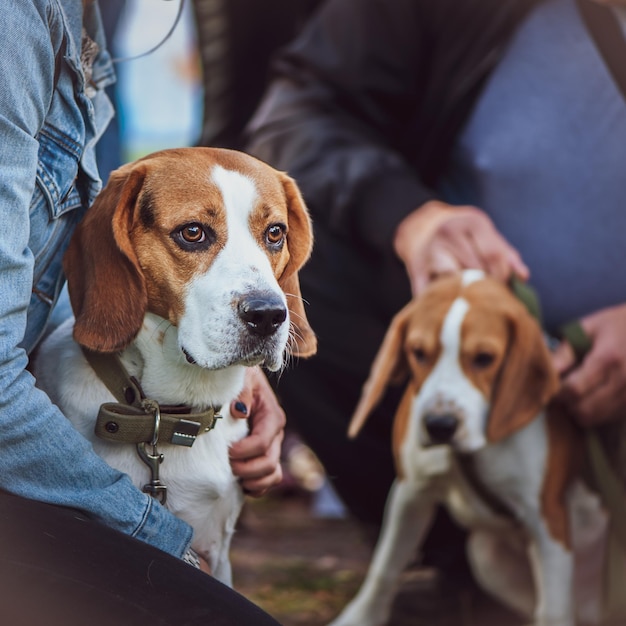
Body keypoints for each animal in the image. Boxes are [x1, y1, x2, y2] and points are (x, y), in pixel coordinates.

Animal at [330, 270, 604, 624]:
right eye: (418, 352)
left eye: (484, 358)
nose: (440, 425)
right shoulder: (410, 492)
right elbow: (385, 566)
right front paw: (360, 616)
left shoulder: (547, 519)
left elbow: (553, 609)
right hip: (485, 557)